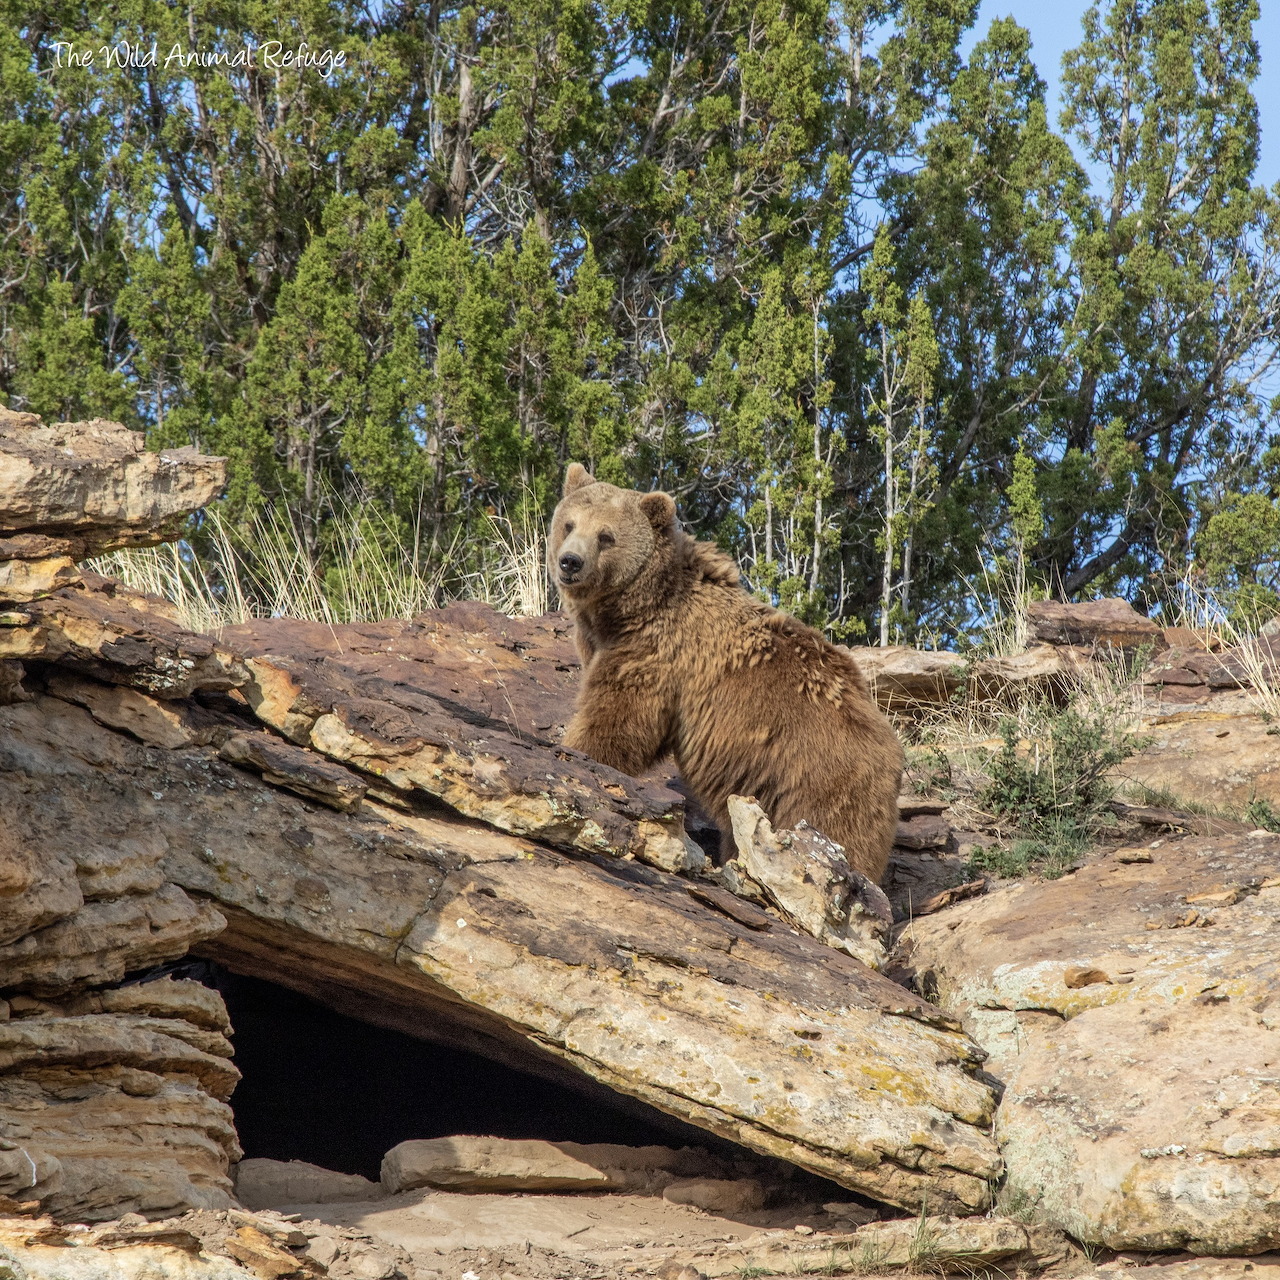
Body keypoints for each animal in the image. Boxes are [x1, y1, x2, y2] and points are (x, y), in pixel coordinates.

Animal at [548, 463, 904, 882]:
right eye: (569, 523)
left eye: (606, 536)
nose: (570, 562)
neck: (632, 609)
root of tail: (893, 749)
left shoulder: (657, 653)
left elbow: (617, 721)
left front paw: (576, 752)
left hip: (817, 777)